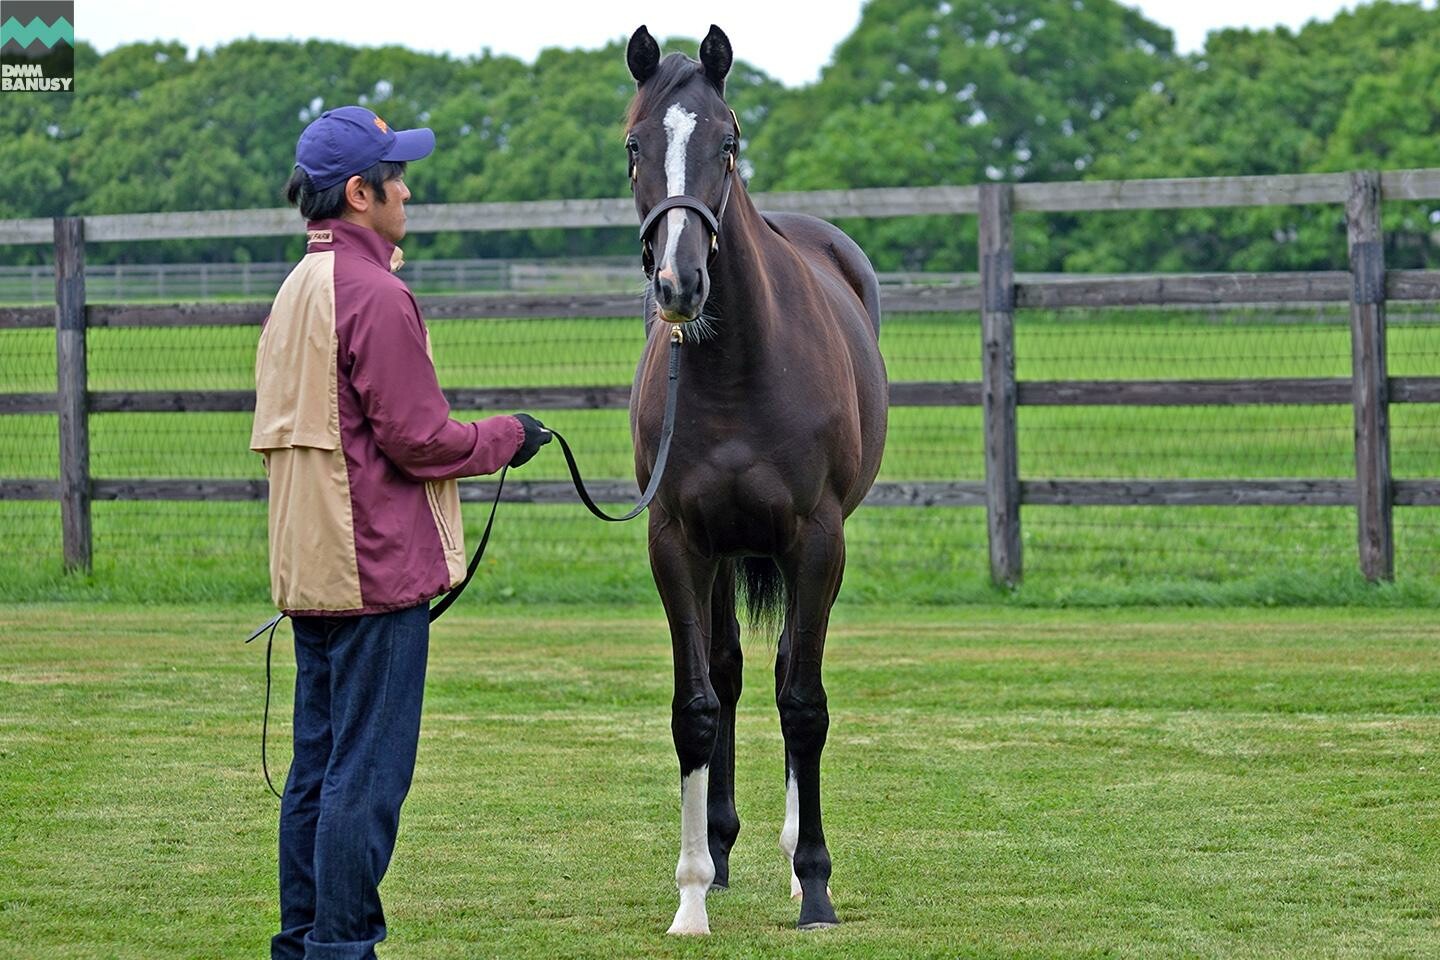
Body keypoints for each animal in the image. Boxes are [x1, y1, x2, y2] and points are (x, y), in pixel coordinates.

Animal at [622, 24, 881, 938]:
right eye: (634, 146)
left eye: (726, 143)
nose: (678, 283)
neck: (738, 368)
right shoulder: (678, 543)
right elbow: (696, 704)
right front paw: (692, 894)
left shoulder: (817, 542)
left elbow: (803, 700)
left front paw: (817, 886)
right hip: (727, 552)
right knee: (732, 671)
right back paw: (726, 850)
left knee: (778, 673)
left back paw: (790, 857)